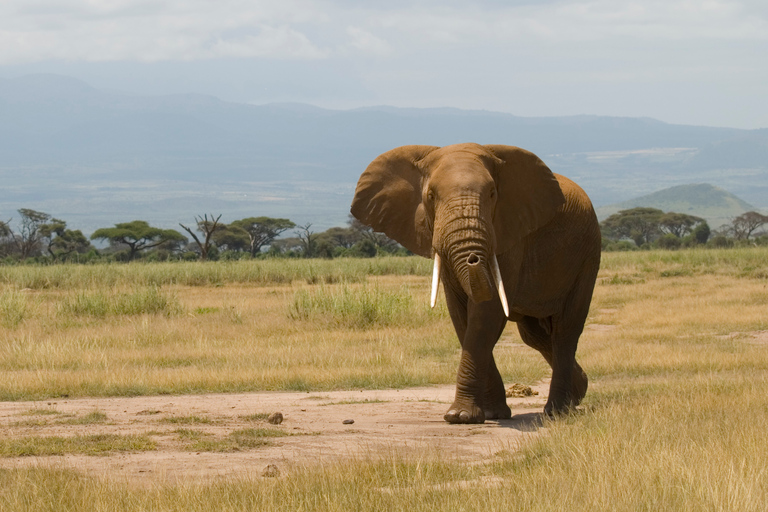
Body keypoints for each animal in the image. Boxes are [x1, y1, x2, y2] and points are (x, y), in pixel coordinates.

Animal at [352, 143, 604, 424]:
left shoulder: (510, 235)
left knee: (565, 330)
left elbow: (485, 313)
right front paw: (491, 413)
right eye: (430, 196)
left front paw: (460, 416)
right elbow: (462, 316)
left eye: (493, 194)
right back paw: (578, 391)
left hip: (588, 255)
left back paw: (557, 411)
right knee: (534, 335)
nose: (473, 259)